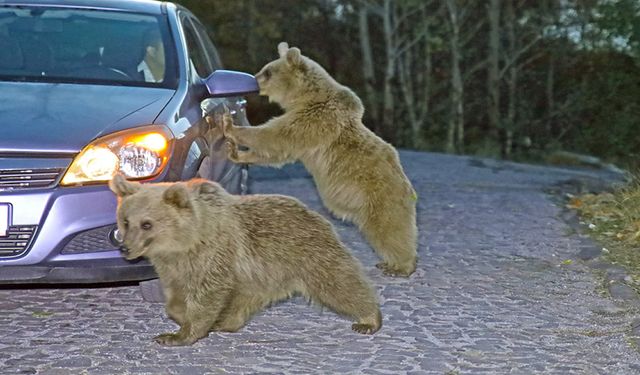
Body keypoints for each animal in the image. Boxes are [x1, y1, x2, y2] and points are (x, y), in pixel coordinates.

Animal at [109, 175, 380, 348]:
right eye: (126, 220)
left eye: (147, 224)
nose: (125, 247)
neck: (186, 242)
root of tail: (316, 214)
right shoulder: (173, 267)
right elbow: (176, 296)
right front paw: (180, 316)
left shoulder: (214, 254)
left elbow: (207, 294)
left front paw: (178, 335)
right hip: (259, 275)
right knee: (243, 300)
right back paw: (224, 322)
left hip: (308, 254)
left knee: (339, 284)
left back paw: (369, 319)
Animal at [212, 42, 418, 278]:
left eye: (268, 71)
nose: (253, 81)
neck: (304, 97)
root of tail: (408, 189)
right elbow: (276, 152)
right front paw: (236, 152)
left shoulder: (313, 120)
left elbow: (274, 136)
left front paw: (229, 125)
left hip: (380, 196)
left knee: (390, 230)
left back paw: (400, 266)